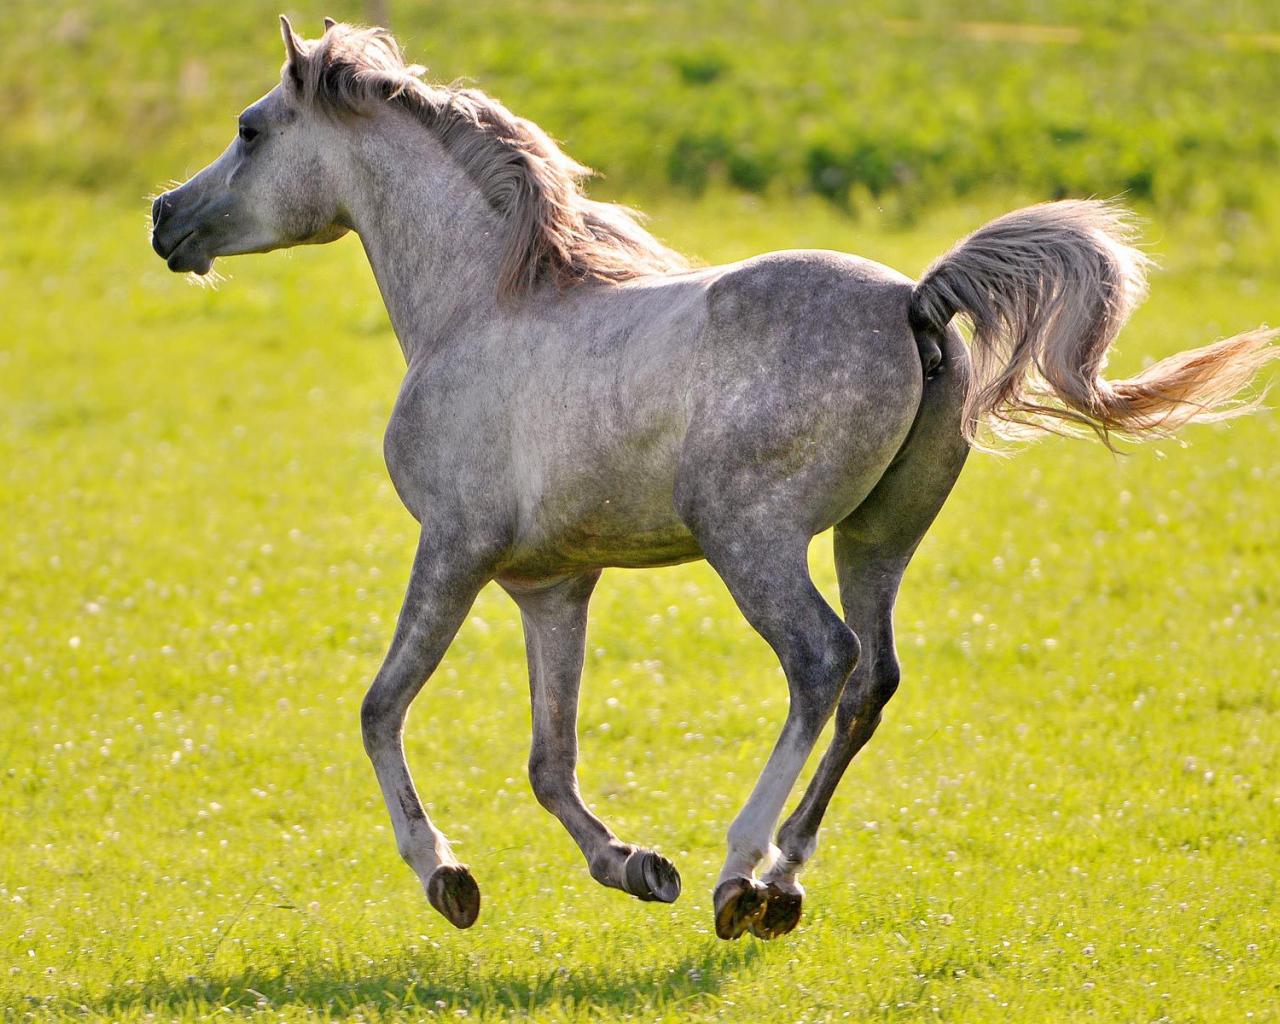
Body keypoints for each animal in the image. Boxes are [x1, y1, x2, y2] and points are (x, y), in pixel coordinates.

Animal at [150, 18, 1276, 941]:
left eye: (250, 130)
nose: (166, 218)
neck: (481, 305)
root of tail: (915, 300)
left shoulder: (455, 550)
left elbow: (381, 709)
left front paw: (447, 878)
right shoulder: (550, 585)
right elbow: (548, 759)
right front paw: (635, 865)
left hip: (751, 538)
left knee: (822, 661)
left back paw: (742, 870)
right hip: (877, 538)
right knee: (871, 679)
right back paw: (781, 881)